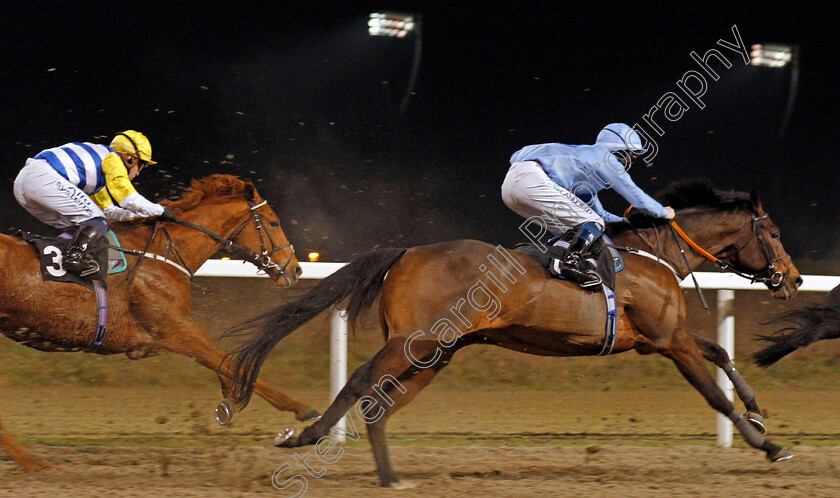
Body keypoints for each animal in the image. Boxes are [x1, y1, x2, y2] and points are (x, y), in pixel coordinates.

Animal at [0, 174, 318, 470]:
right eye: (274, 223)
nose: (296, 269)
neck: (162, 252)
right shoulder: (177, 330)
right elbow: (231, 363)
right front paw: (302, 409)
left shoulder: (162, 339)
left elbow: (224, 363)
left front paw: (228, 400)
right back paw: (32, 462)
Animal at [228, 182, 800, 486]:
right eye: (773, 232)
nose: (792, 279)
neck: (653, 256)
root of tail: (407, 252)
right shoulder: (668, 342)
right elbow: (713, 395)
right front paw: (767, 445)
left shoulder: (660, 339)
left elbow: (721, 350)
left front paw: (757, 409)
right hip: (417, 341)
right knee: (361, 380)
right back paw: (307, 435)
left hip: (437, 353)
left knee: (379, 403)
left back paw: (390, 476)